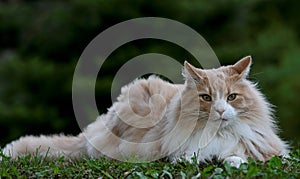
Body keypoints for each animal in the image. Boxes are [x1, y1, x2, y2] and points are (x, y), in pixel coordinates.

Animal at [1, 56, 288, 168]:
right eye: (206, 98)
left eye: (231, 97)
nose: (219, 110)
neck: (216, 135)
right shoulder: (176, 148)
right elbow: (189, 156)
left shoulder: (263, 149)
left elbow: (236, 157)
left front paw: (230, 160)